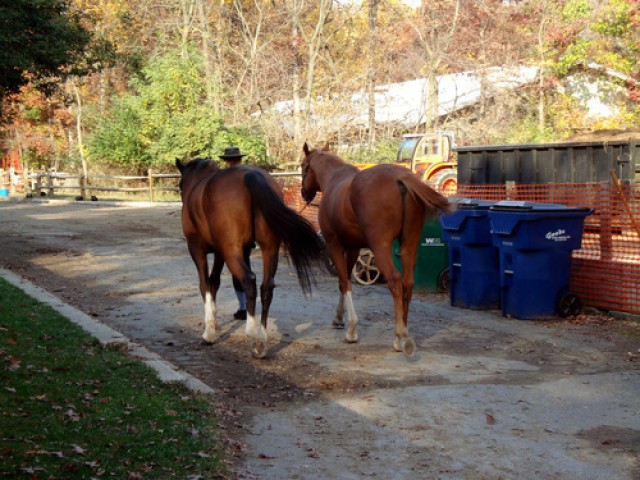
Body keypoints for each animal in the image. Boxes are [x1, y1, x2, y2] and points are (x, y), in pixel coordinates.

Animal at [175, 159, 324, 358]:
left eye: (180, 185)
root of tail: (251, 175)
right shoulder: (221, 253)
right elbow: (214, 282)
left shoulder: (196, 248)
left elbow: (204, 284)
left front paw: (208, 332)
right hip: (268, 247)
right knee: (266, 287)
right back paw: (261, 342)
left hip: (232, 251)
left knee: (249, 280)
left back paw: (252, 333)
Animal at [300, 142, 450, 356]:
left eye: (303, 167)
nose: (304, 193)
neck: (334, 180)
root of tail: (400, 178)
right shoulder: (353, 248)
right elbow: (344, 282)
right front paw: (339, 318)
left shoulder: (334, 244)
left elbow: (344, 282)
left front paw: (351, 329)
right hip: (409, 244)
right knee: (407, 283)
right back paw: (403, 331)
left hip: (381, 247)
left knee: (395, 281)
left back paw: (400, 335)